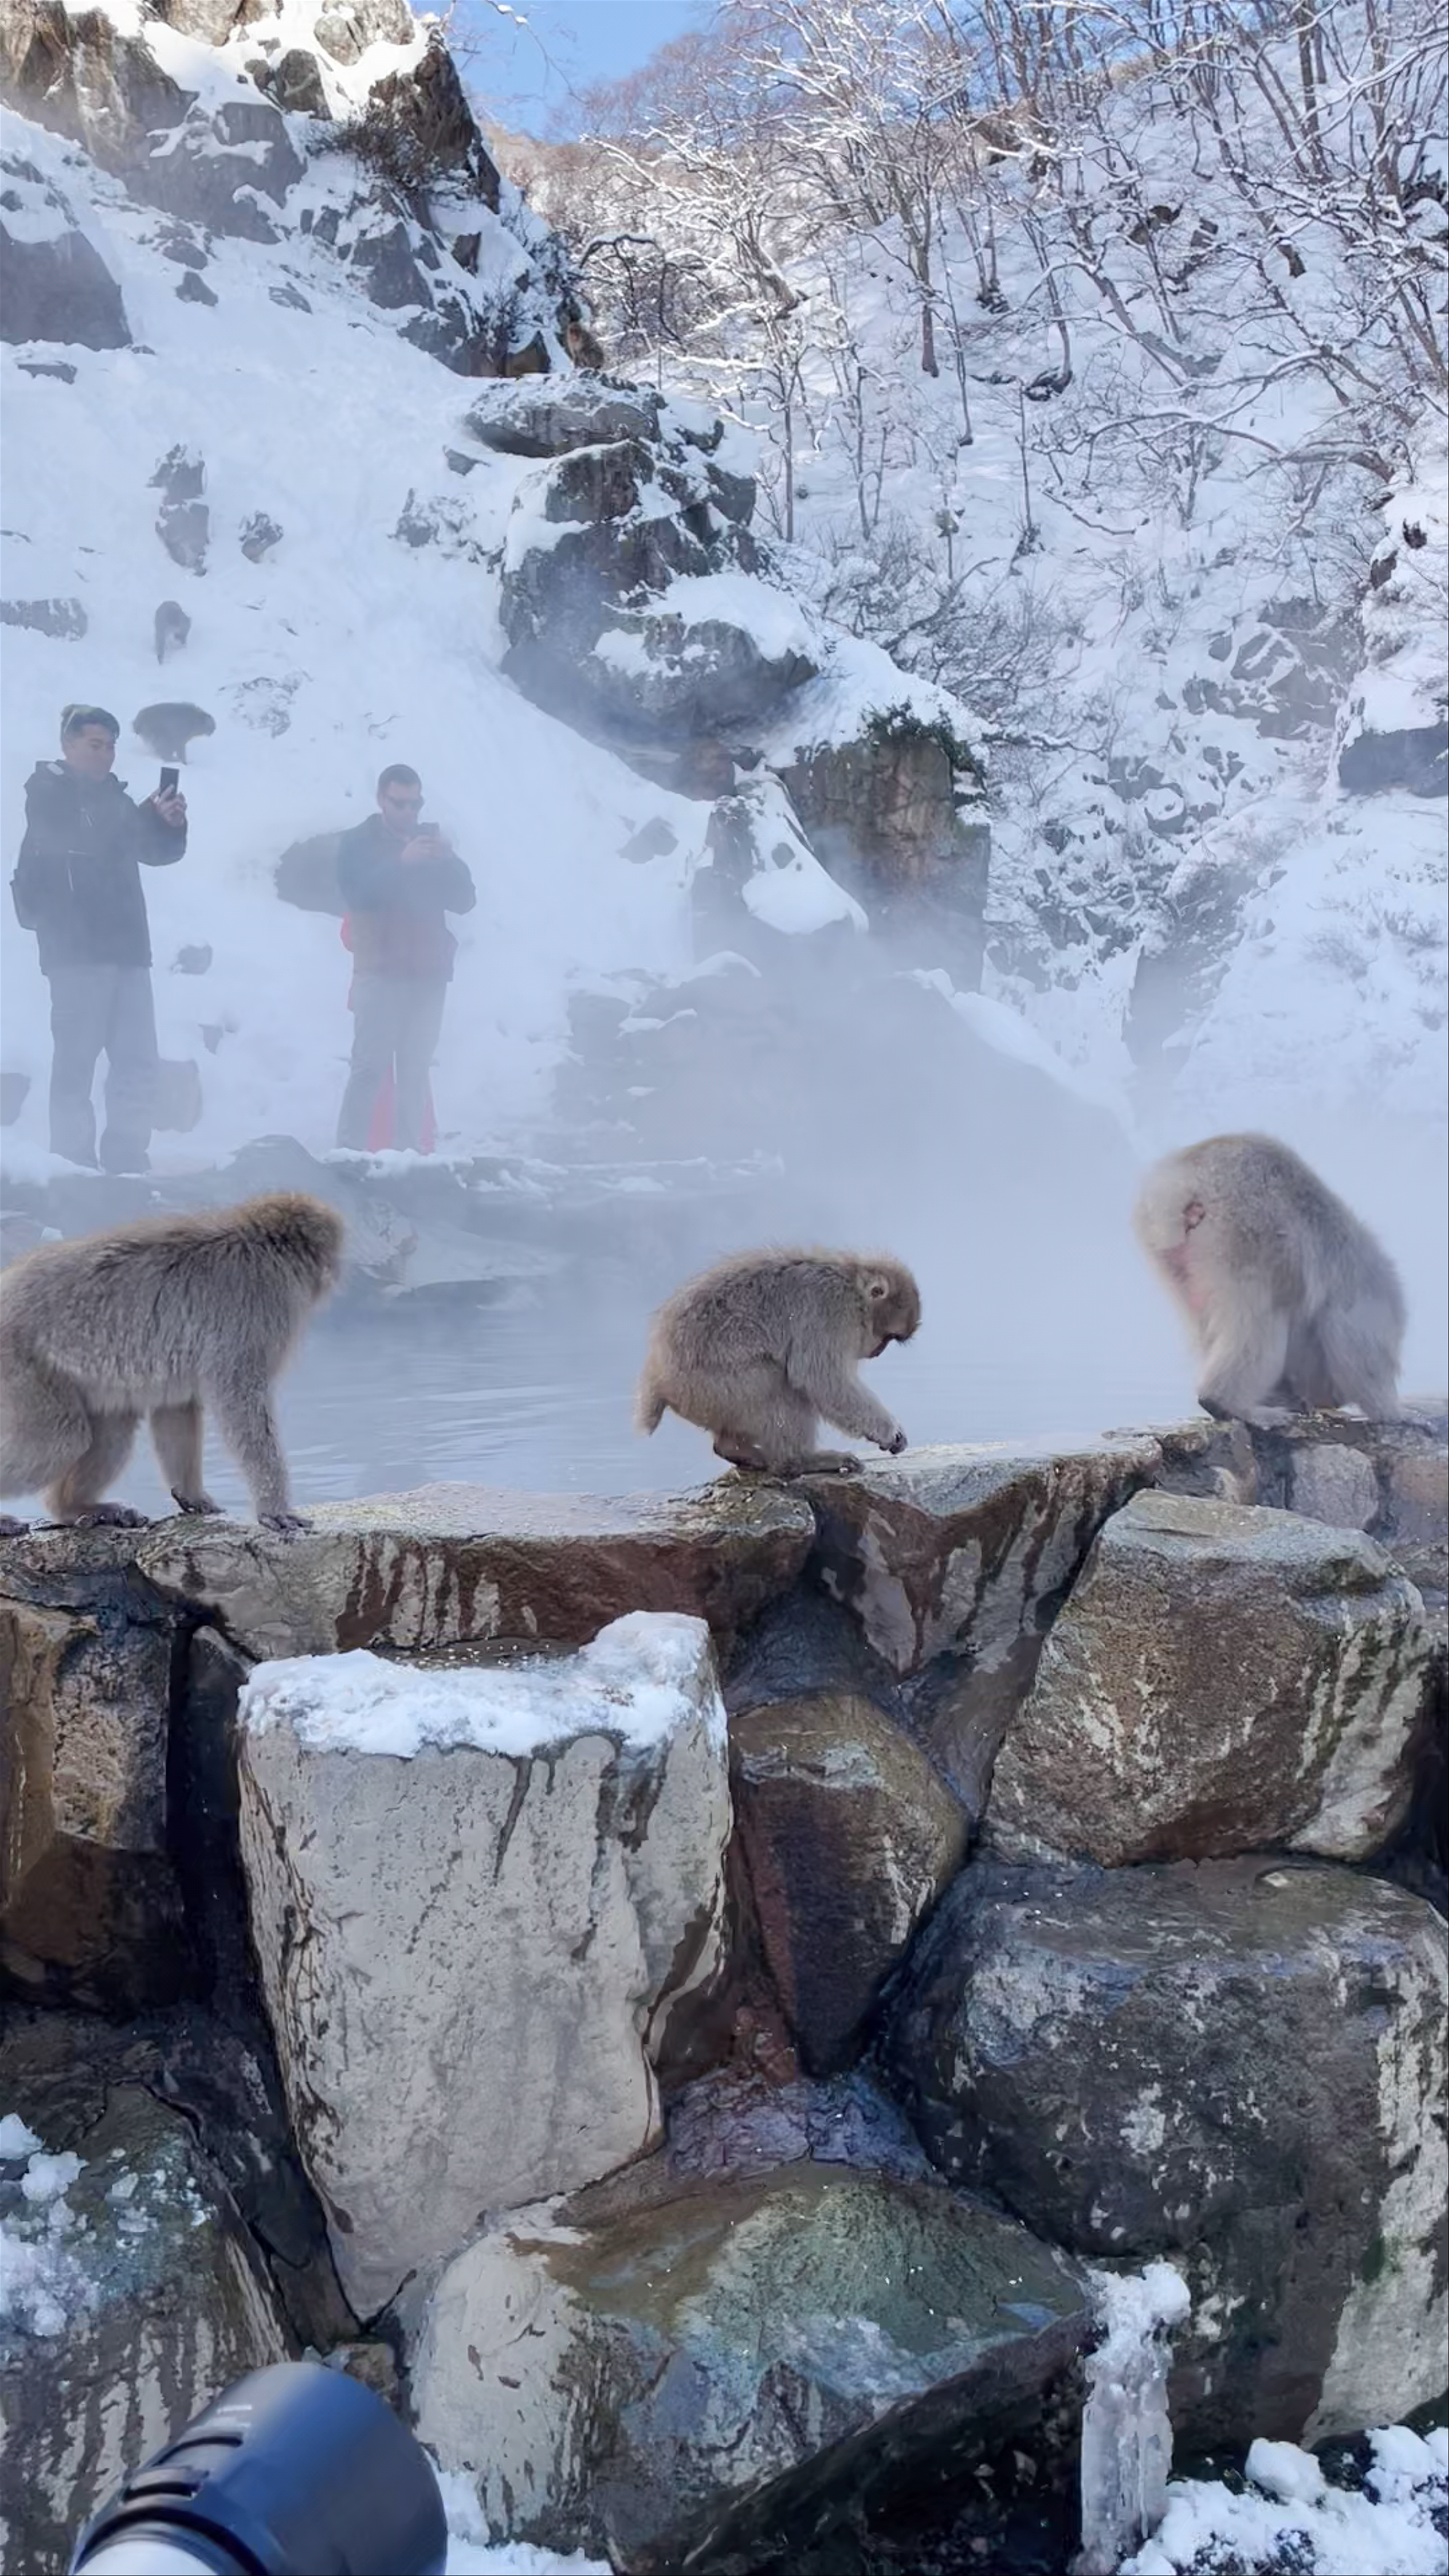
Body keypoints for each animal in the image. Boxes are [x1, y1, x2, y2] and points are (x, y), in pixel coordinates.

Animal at [0, 1193, 344, 1537]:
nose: (333, 1275)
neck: (261, 1244)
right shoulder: (260, 1309)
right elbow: (240, 1402)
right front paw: (274, 1508)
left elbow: (176, 1409)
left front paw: (193, 1495)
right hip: (19, 1361)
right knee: (58, 1440)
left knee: (112, 1430)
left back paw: (74, 1508)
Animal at [636, 1247, 920, 1477]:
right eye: (888, 1337)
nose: (878, 1351)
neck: (852, 1286)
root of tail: (657, 1381)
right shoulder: (830, 1312)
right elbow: (819, 1377)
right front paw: (889, 1432)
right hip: (712, 1388)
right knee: (778, 1383)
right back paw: (799, 1461)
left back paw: (734, 1450)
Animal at [1134, 1133, 1404, 1429]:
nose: (1334, 1399)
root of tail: (1180, 1183)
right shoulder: (1365, 1298)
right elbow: (1355, 1345)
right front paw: (1390, 1411)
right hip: (1246, 1231)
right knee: (1261, 1318)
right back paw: (1229, 1402)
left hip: (1173, 1256)